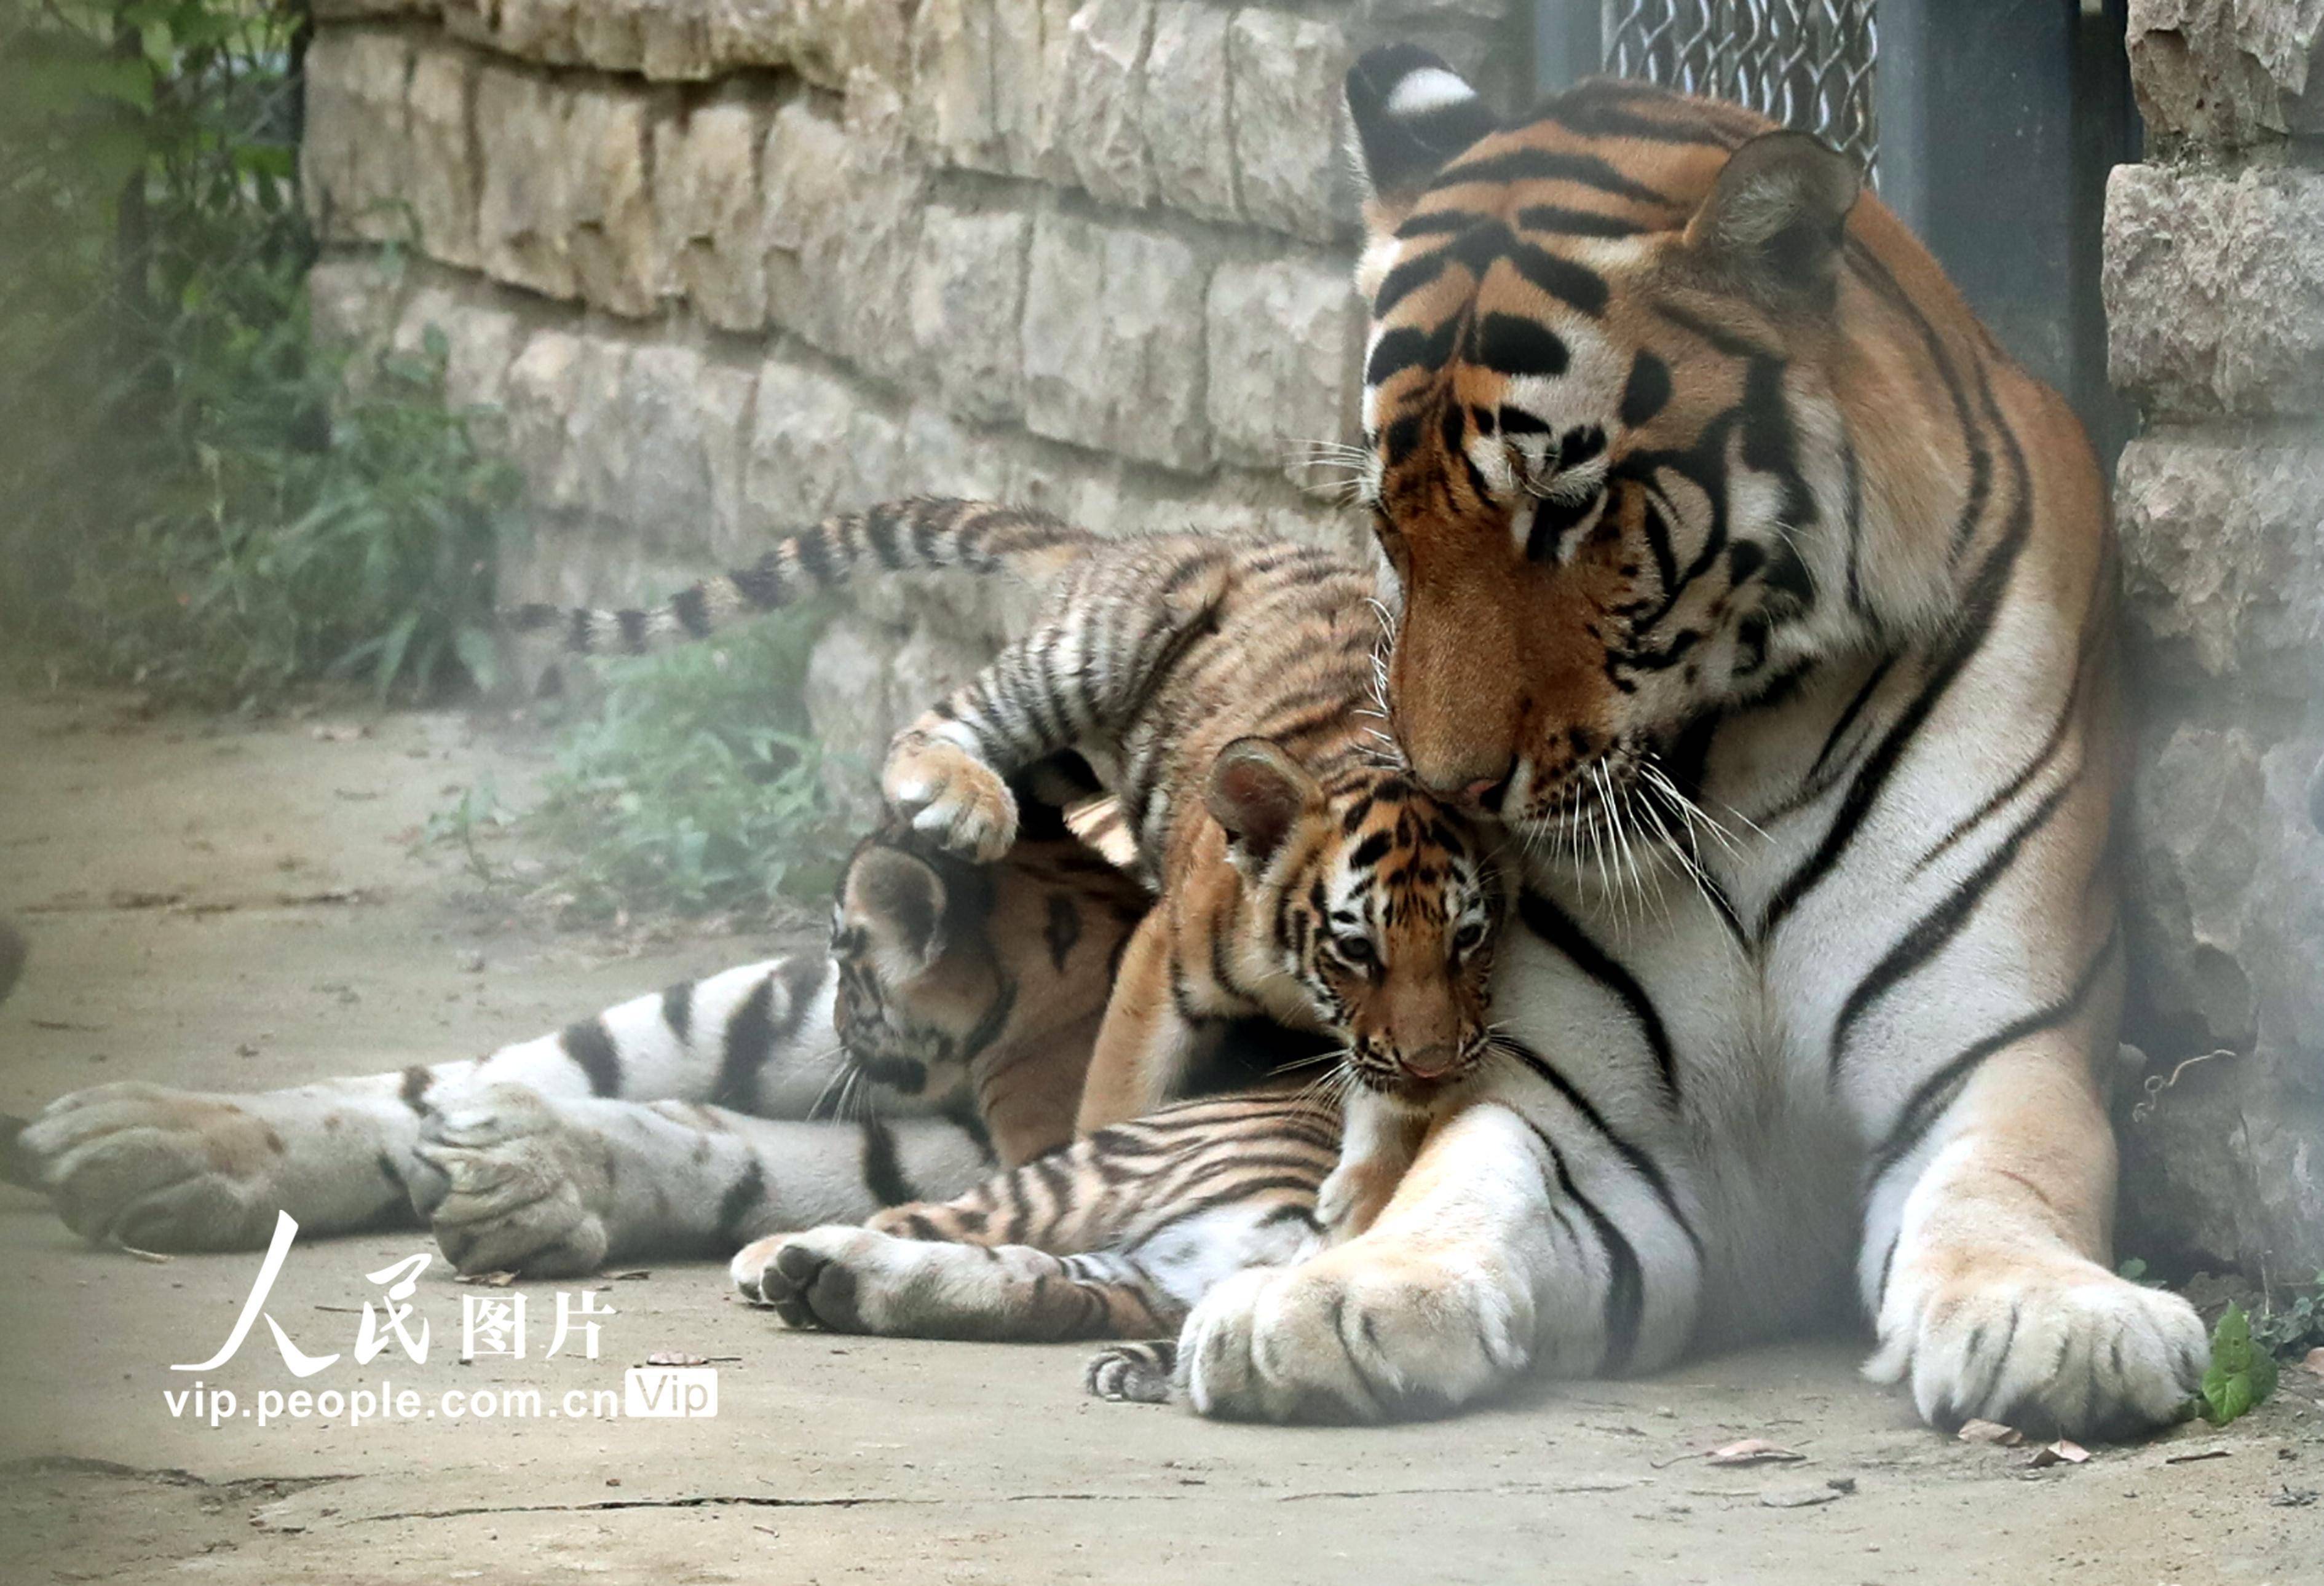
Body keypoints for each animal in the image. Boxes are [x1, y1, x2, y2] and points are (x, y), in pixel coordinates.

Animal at [1171, 49, 2203, 1440]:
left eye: (1565, 506)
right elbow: (1462, 1181)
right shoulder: (1571, 1116)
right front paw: (1334, 1299)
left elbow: (2008, 1184)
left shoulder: (1993, 1053)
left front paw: (2056, 1320)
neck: (1744, 760)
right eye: (1389, 523)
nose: (1453, 792)